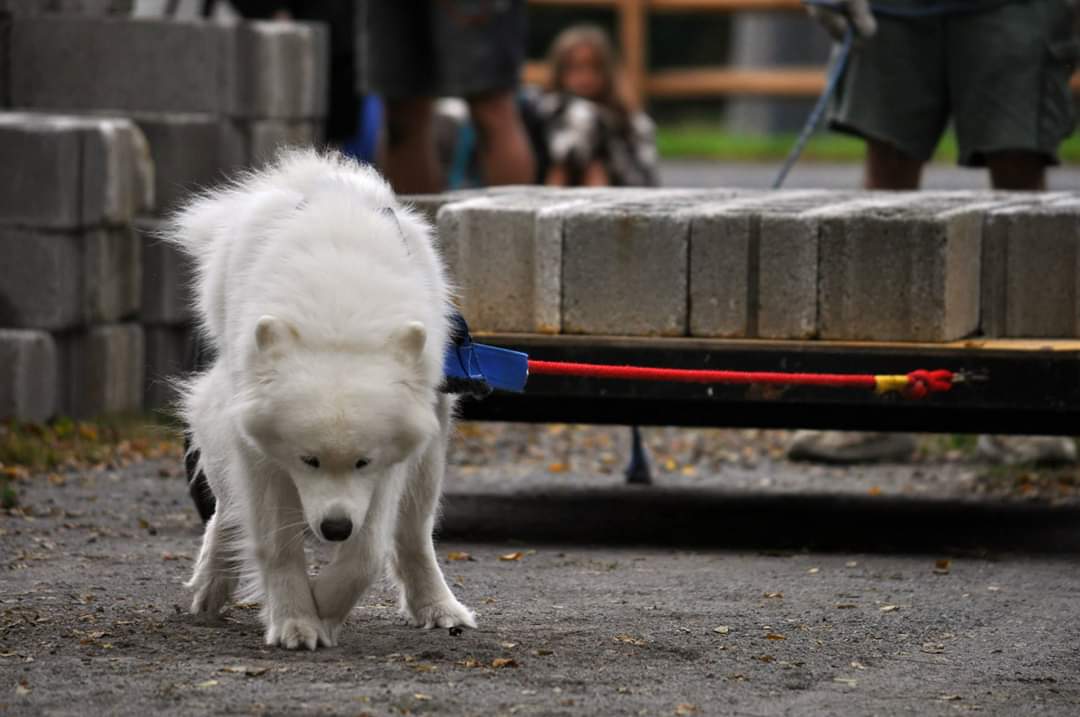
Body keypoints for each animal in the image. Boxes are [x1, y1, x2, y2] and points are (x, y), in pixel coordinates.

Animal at [167, 150, 473, 647]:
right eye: (307, 460)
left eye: (363, 462)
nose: (334, 528)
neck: (339, 320)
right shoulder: (261, 456)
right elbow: (277, 544)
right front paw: (295, 619)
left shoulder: (388, 467)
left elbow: (367, 553)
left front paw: (325, 608)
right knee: (228, 510)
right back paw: (212, 583)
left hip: (429, 458)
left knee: (413, 535)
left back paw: (439, 607)